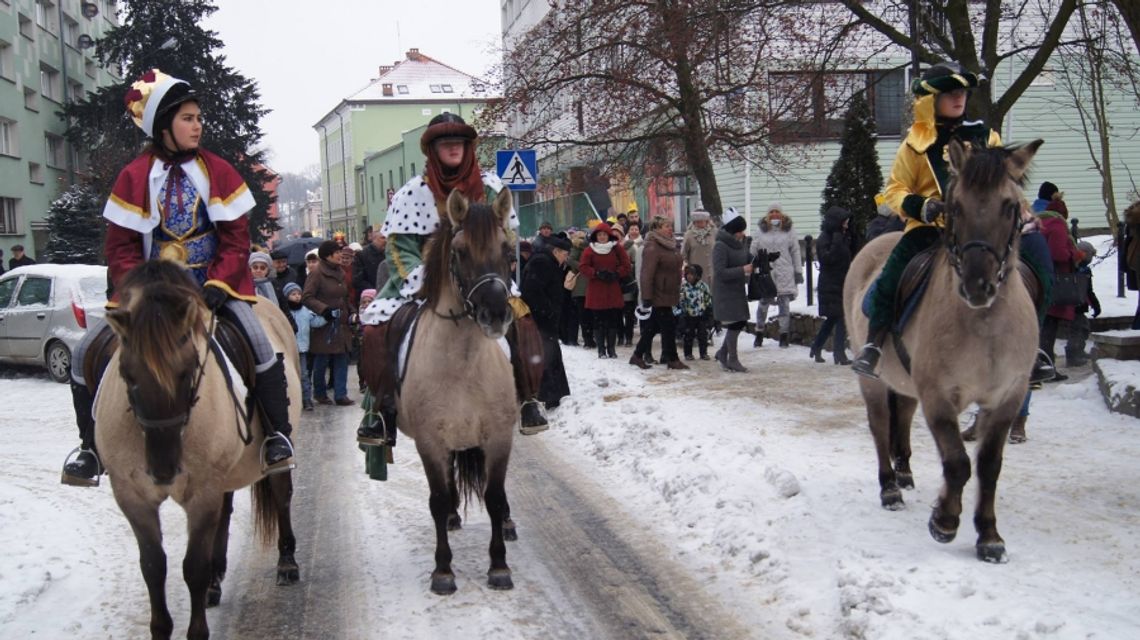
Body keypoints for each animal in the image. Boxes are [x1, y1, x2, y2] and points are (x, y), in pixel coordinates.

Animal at [97, 261, 300, 638]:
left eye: (188, 370)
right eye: (127, 375)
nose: (163, 469)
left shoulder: (201, 492)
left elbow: (193, 567)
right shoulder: (132, 496)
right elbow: (153, 566)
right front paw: (161, 627)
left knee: (281, 495)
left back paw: (286, 563)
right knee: (226, 511)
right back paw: (217, 579)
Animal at [394, 185, 515, 593]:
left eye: (507, 249)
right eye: (460, 252)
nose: (496, 314)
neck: (463, 366)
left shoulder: (499, 437)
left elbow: (494, 497)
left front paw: (499, 565)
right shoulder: (430, 441)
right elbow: (437, 497)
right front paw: (443, 570)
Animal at [843, 138, 1044, 559]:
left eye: (1010, 205)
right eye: (955, 206)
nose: (977, 285)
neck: (983, 326)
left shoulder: (1008, 396)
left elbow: (989, 465)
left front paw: (989, 536)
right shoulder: (938, 395)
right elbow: (956, 462)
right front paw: (945, 521)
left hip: (905, 381)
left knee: (902, 416)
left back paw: (904, 473)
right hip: (872, 379)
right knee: (880, 424)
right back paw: (890, 487)